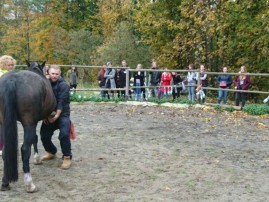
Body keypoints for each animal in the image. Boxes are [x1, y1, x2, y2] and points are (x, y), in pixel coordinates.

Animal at [0, 61, 55, 193]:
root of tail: (11, 80)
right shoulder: (33, 122)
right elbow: (35, 138)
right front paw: (37, 158)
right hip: (29, 123)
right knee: (25, 149)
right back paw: (29, 184)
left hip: (3, 123)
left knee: (5, 151)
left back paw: (5, 183)